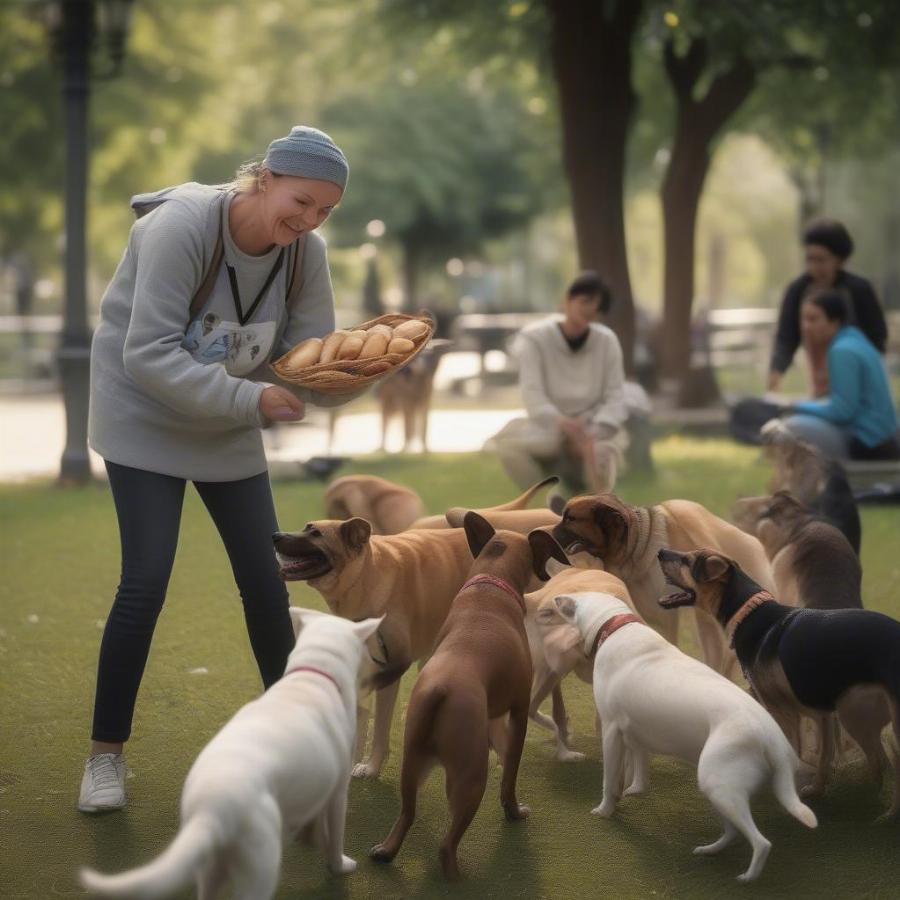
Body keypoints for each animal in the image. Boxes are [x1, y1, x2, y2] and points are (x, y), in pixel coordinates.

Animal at [80, 608, 384, 896]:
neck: (312, 674)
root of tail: (212, 811)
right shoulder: (338, 793)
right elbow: (334, 838)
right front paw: (339, 865)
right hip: (260, 867)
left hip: (208, 866)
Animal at [370, 512, 568, 880]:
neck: (490, 584)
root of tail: (440, 690)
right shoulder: (518, 711)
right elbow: (510, 774)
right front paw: (514, 812)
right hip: (471, 779)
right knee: (446, 846)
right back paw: (459, 879)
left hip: (411, 769)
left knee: (406, 815)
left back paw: (386, 851)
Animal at [556, 596, 816, 884]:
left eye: (572, 602)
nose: (556, 599)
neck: (614, 624)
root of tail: (772, 737)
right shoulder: (635, 733)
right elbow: (640, 770)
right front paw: (634, 790)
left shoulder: (612, 730)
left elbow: (609, 781)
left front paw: (605, 810)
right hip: (720, 792)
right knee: (733, 832)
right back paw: (710, 850)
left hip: (718, 785)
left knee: (761, 843)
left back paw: (747, 877)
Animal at [652, 544, 900, 820]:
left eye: (687, 560)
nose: (660, 551)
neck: (747, 613)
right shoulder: (822, 714)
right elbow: (824, 758)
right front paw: (816, 790)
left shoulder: (784, 713)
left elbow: (793, 756)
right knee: (881, 763)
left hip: (855, 712)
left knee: (883, 762)